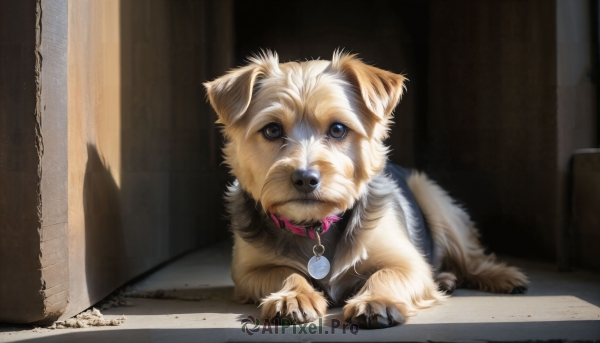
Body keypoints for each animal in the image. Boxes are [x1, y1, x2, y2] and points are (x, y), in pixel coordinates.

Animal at [204, 51, 528, 330]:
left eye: (337, 129)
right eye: (272, 130)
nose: (305, 178)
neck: (315, 226)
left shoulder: (408, 263)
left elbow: (388, 272)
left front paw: (376, 301)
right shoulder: (248, 272)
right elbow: (284, 271)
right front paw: (292, 296)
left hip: (434, 199)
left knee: (470, 256)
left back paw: (502, 276)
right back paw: (447, 278)